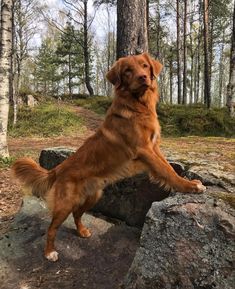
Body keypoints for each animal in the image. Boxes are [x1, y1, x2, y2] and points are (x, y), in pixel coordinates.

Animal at [11, 52, 205, 260]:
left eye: (145, 66)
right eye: (128, 71)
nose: (143, 77)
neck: (138, 106)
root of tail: (59, 167)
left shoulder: (154, 148)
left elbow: (167, 167)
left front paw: (189, 181)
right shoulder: (145, 150)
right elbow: (167, 171)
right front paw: (190, 187)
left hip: (94, 196)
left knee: (77, 214)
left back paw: (82, 231)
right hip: (65, 203)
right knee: (52, 228)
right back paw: (50, 252)